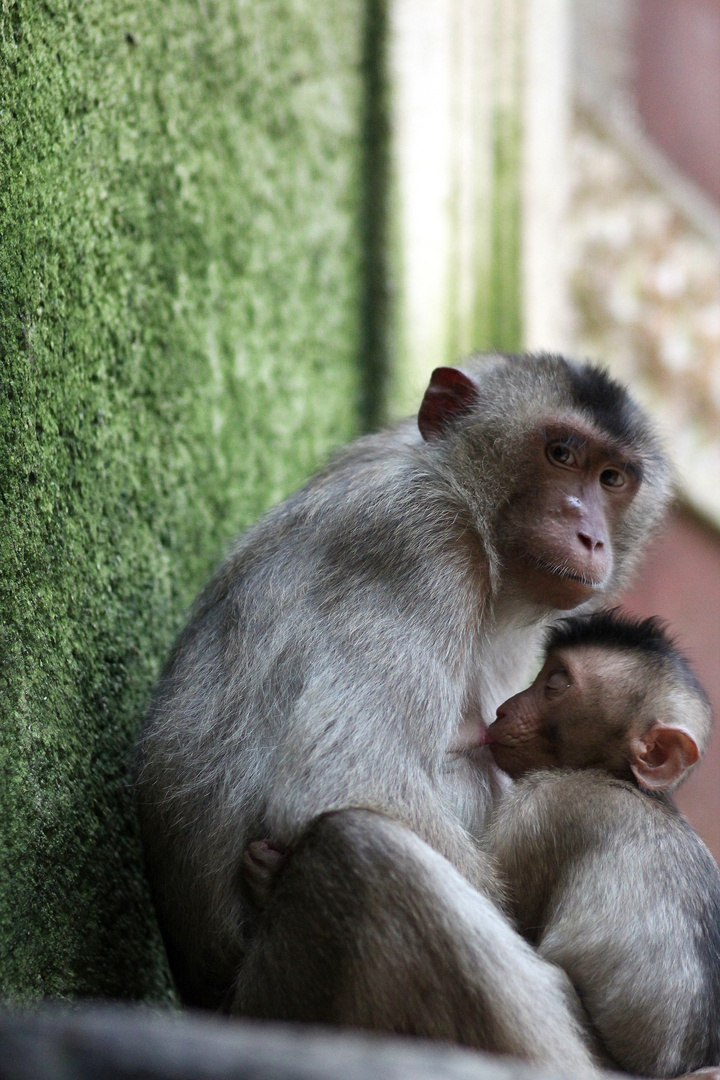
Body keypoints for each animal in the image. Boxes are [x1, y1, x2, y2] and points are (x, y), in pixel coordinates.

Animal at [138, 354, 673, 1071]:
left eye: (612, 478)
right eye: (560, 454)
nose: (588, 533)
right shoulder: (421, 541)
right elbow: (349, 775)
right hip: (277, 1000)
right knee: (363, 854)